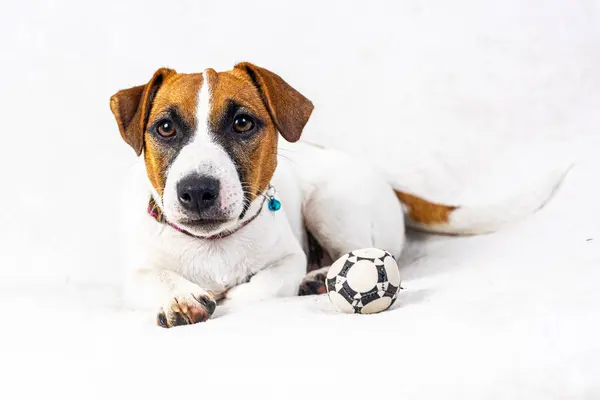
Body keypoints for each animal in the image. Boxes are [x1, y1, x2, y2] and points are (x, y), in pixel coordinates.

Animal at [110, 61, 564, 326]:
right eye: (165, 128)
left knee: (368, 255)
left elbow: (256, 289)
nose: (197, 190)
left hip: (330, 205)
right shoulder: (135, 273)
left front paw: (235, 295)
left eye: (242, 122)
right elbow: (156, 278)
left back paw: (318, 278)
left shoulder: (286, 259)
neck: (213, 244)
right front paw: (180, 296)